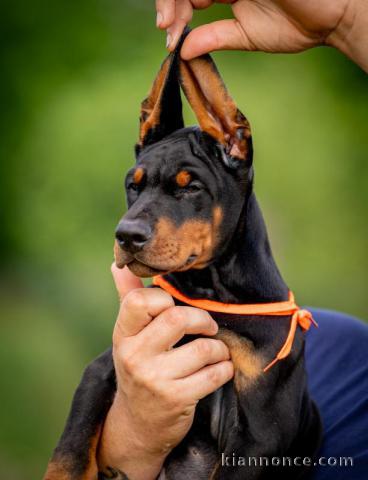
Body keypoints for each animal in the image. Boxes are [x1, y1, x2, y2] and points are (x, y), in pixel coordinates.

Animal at [44, 32, 322, 480]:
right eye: (133, 185)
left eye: (190, 187)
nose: (127, 236)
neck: (211, 294)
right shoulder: (106, 366)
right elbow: (71, 446)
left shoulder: (261, 430)